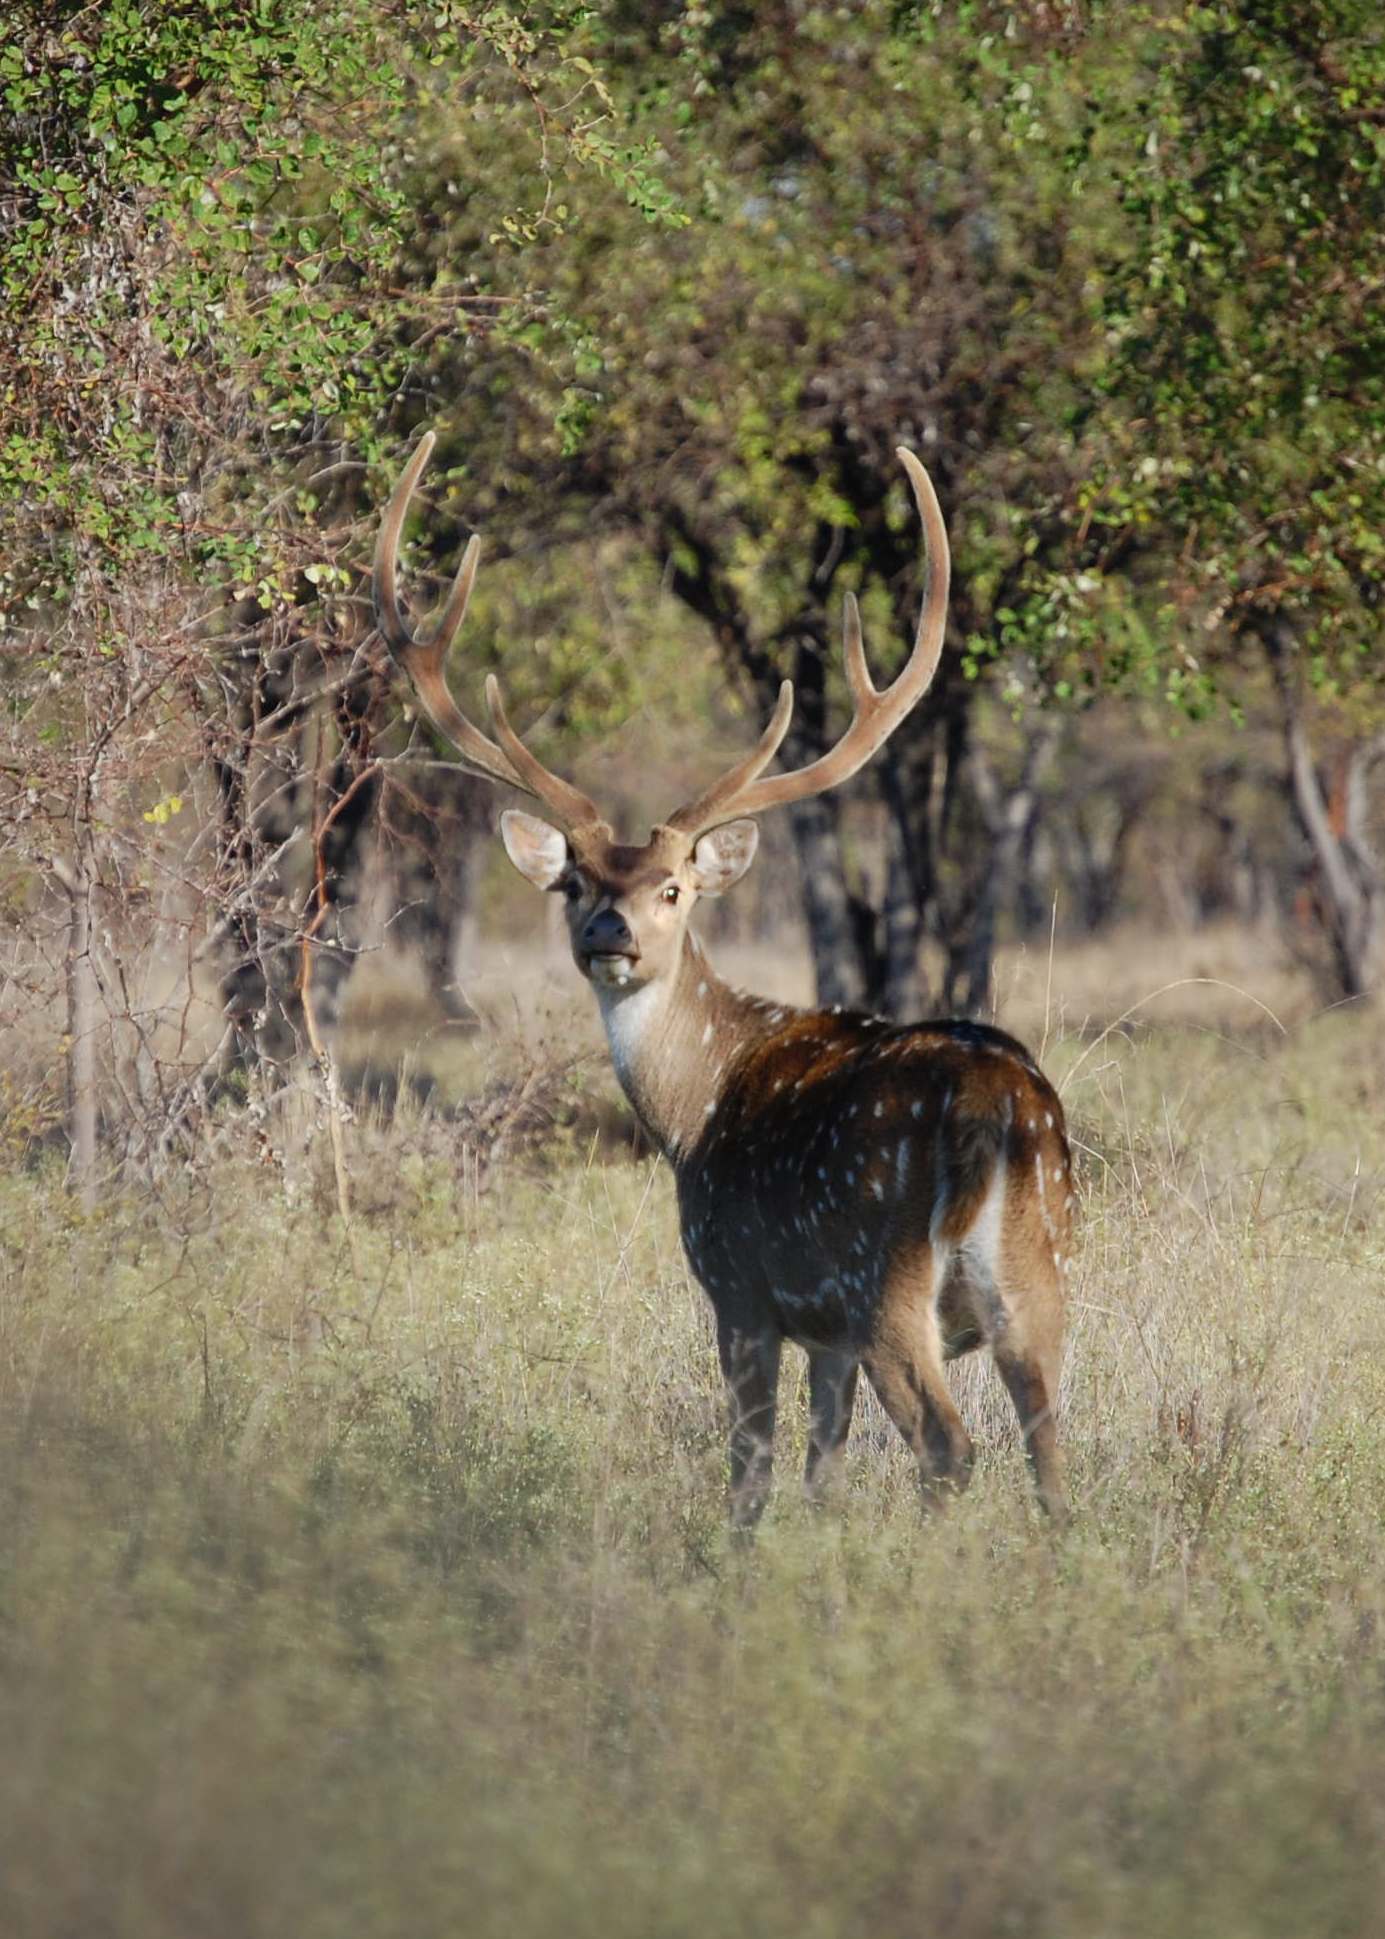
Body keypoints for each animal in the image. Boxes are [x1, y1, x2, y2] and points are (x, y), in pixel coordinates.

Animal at [372, 436, 1070, 1527]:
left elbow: (749, 1473)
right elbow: (821, 1468)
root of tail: (998, 1109)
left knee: (949, 1445)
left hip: (882, 1277)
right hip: (1040, 1278)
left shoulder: (740, 1287)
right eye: (574, 881)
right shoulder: (821, 1335)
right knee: (1049, 1455)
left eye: (672, 887)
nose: (609, 933)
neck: (692, 1111)